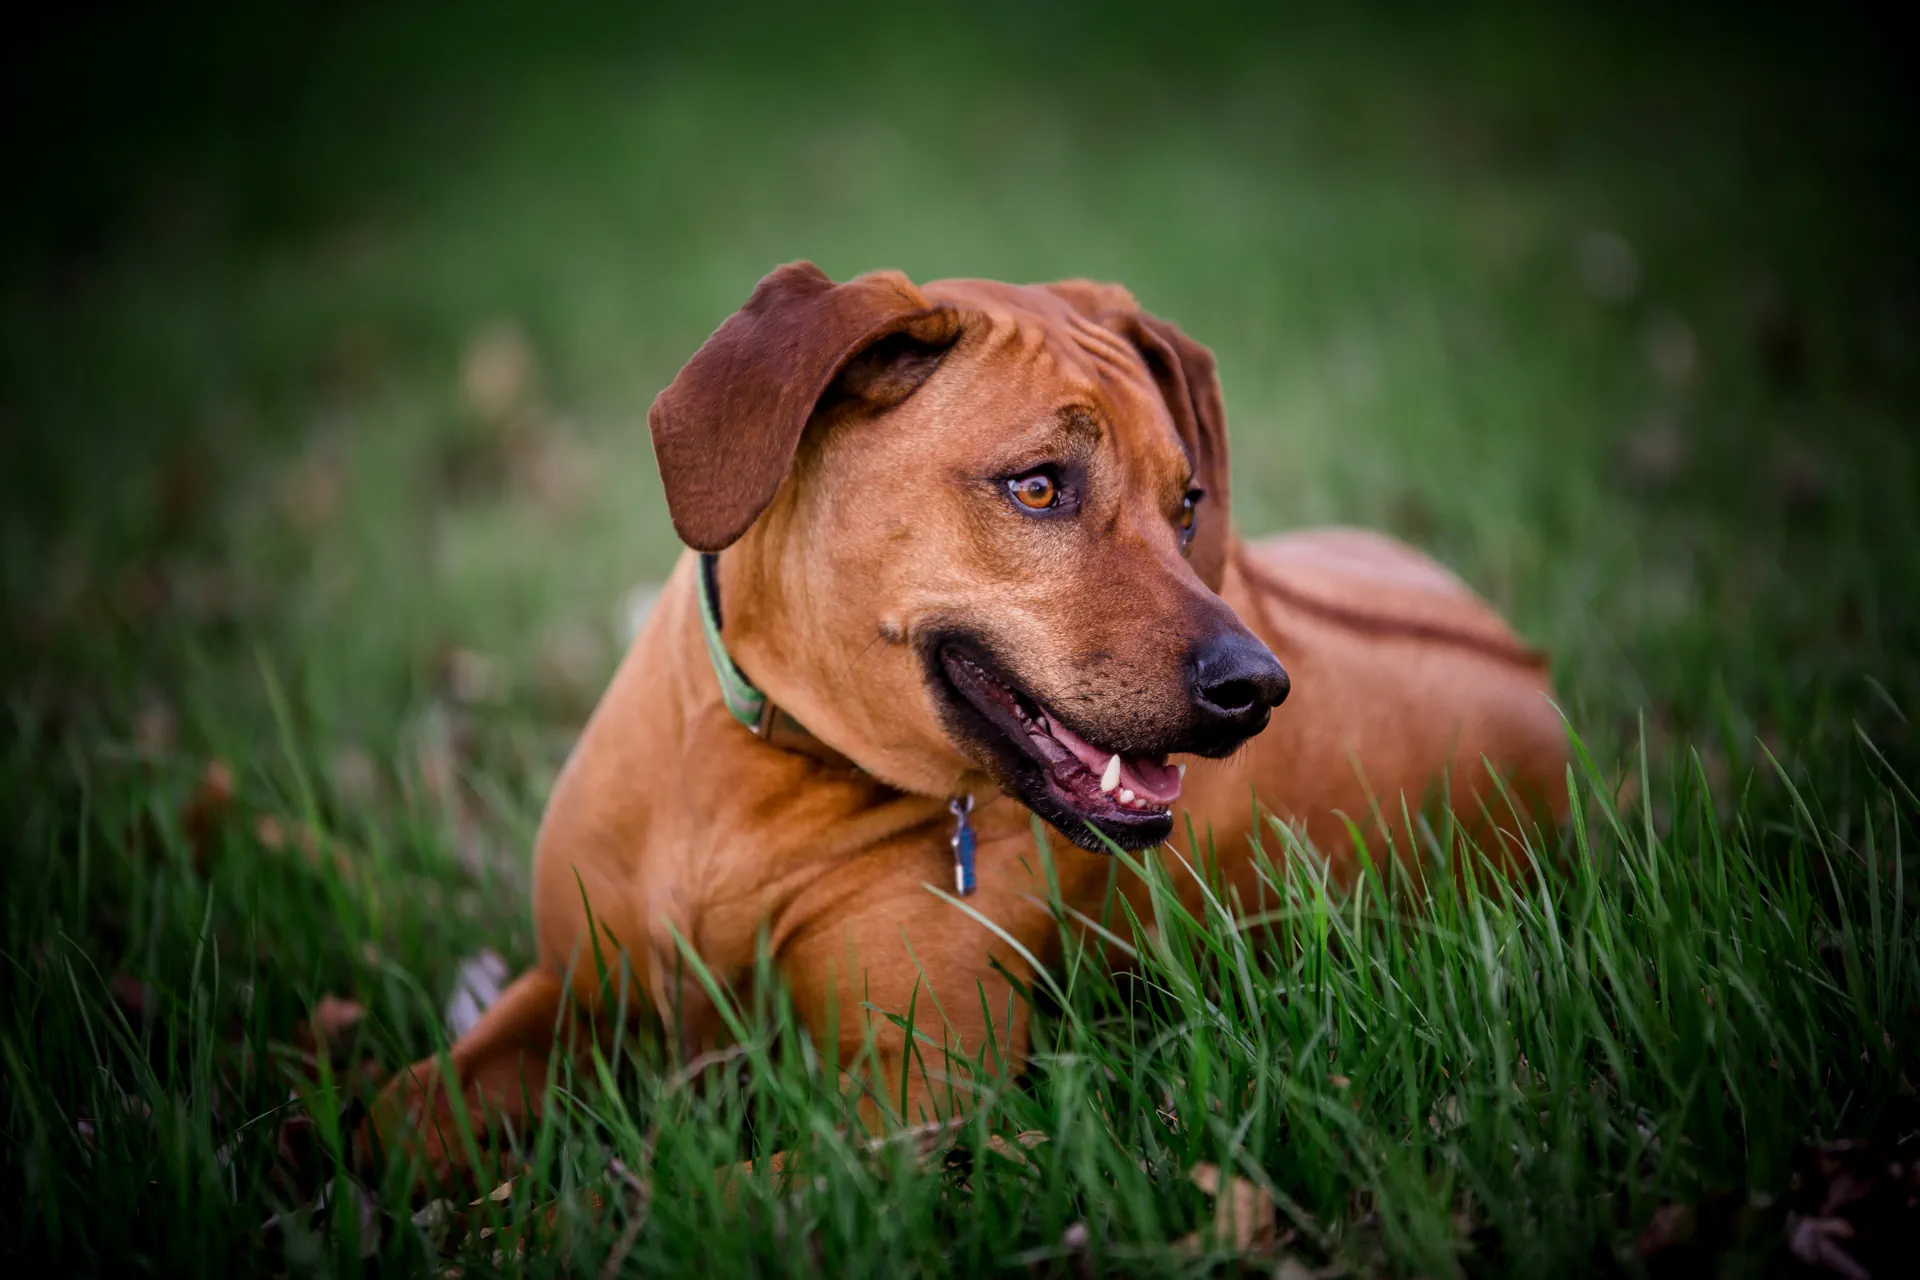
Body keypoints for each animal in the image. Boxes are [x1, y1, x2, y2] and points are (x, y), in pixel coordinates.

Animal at [370, 260, 1559, 1174]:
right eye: (1037, 486)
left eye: (1187, 505)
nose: (1256, 687)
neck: (768, 763)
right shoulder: (574, 989)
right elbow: (402, 1103)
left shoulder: (920, 1095)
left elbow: (691, 1190)